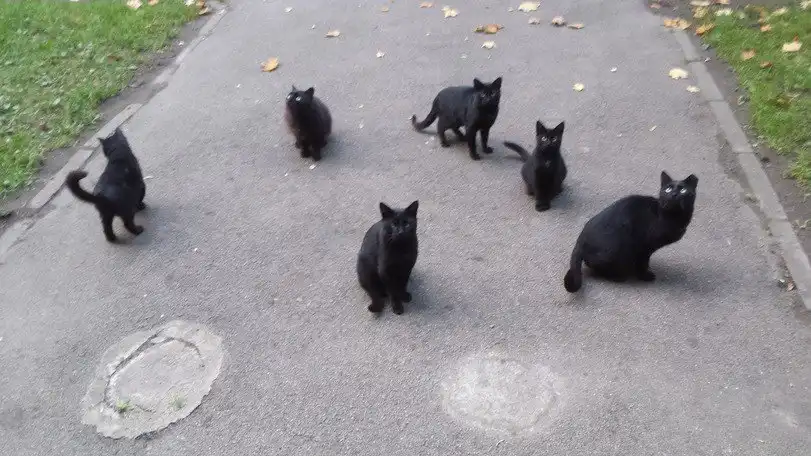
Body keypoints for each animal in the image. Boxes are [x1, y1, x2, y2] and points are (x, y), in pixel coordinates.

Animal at [563, 171, 698, 292]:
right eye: (668, 189)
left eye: (683, 190)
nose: (674, 194)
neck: (672, 216)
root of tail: (580, 241)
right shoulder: (645, 247)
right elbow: (643, 262)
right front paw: (645, 275)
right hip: (617, 250)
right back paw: (617, 276)